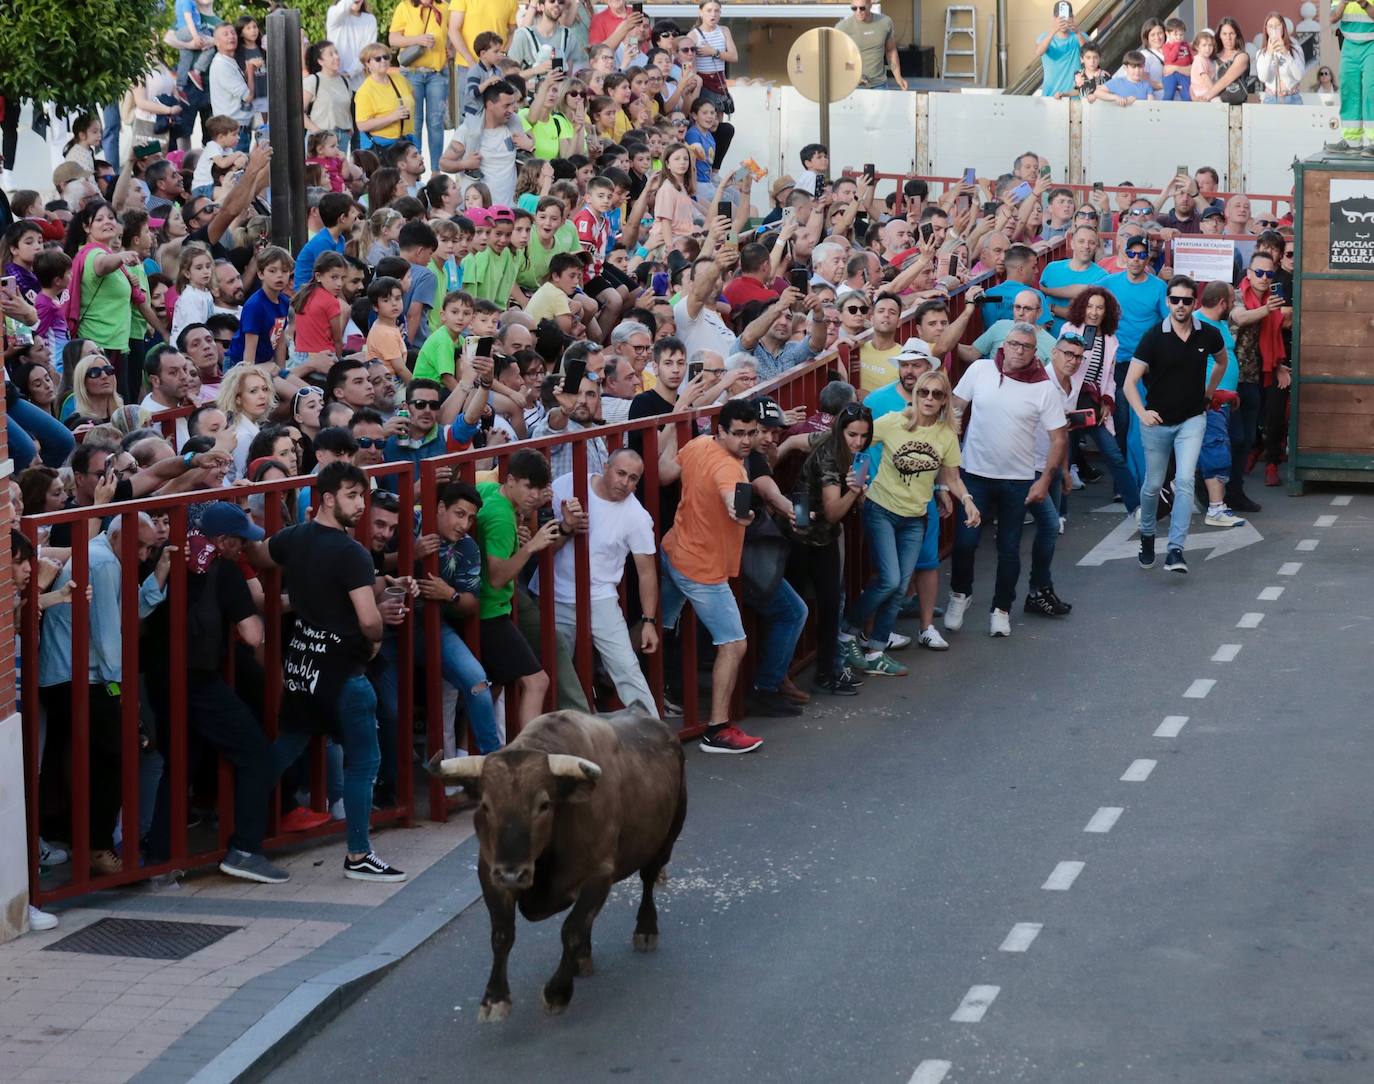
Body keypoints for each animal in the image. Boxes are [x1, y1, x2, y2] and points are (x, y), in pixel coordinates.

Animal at [428, 708, 687, 1016]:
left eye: (544, 804)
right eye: (485, 805)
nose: (512, 875)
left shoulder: (599, 874)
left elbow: (571, 930)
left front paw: (557, 992)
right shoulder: (489, 872)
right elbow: (502, 934)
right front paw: (495, 998)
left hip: (666, 839)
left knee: (648, 879)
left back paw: (645, 930)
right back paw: (584, 957)